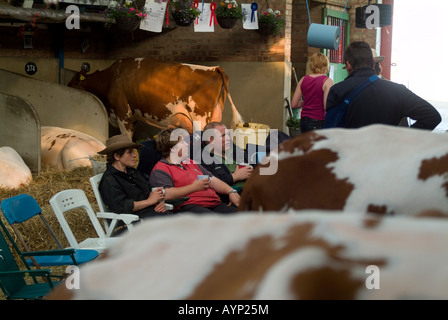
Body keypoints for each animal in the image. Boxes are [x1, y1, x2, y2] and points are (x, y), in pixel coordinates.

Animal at [67, 58, 243, 138]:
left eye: (71, 83)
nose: (66, 86)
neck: (112, 77)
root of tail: (215, 68)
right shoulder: (133, 116)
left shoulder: (123, 114)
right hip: (215, 117)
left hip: (200, 119)